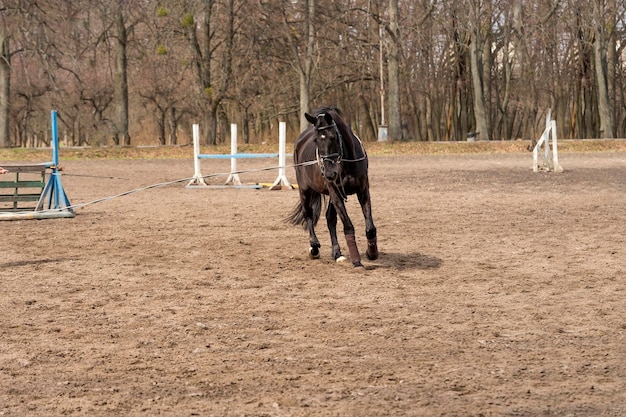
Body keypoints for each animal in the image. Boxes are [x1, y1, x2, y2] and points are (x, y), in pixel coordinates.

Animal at [286, 107, 378, 266]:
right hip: (305, 190)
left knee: (330, 218)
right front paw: (356, 260)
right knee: (308, 213)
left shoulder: (363, 191)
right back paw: (314, 247)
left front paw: (371, 253)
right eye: (315, 140)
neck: (346, 162)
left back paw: (337, 253)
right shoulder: (335, 193)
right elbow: (347, 225)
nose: (329, 173)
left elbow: (370, 226)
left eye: (333, 137)